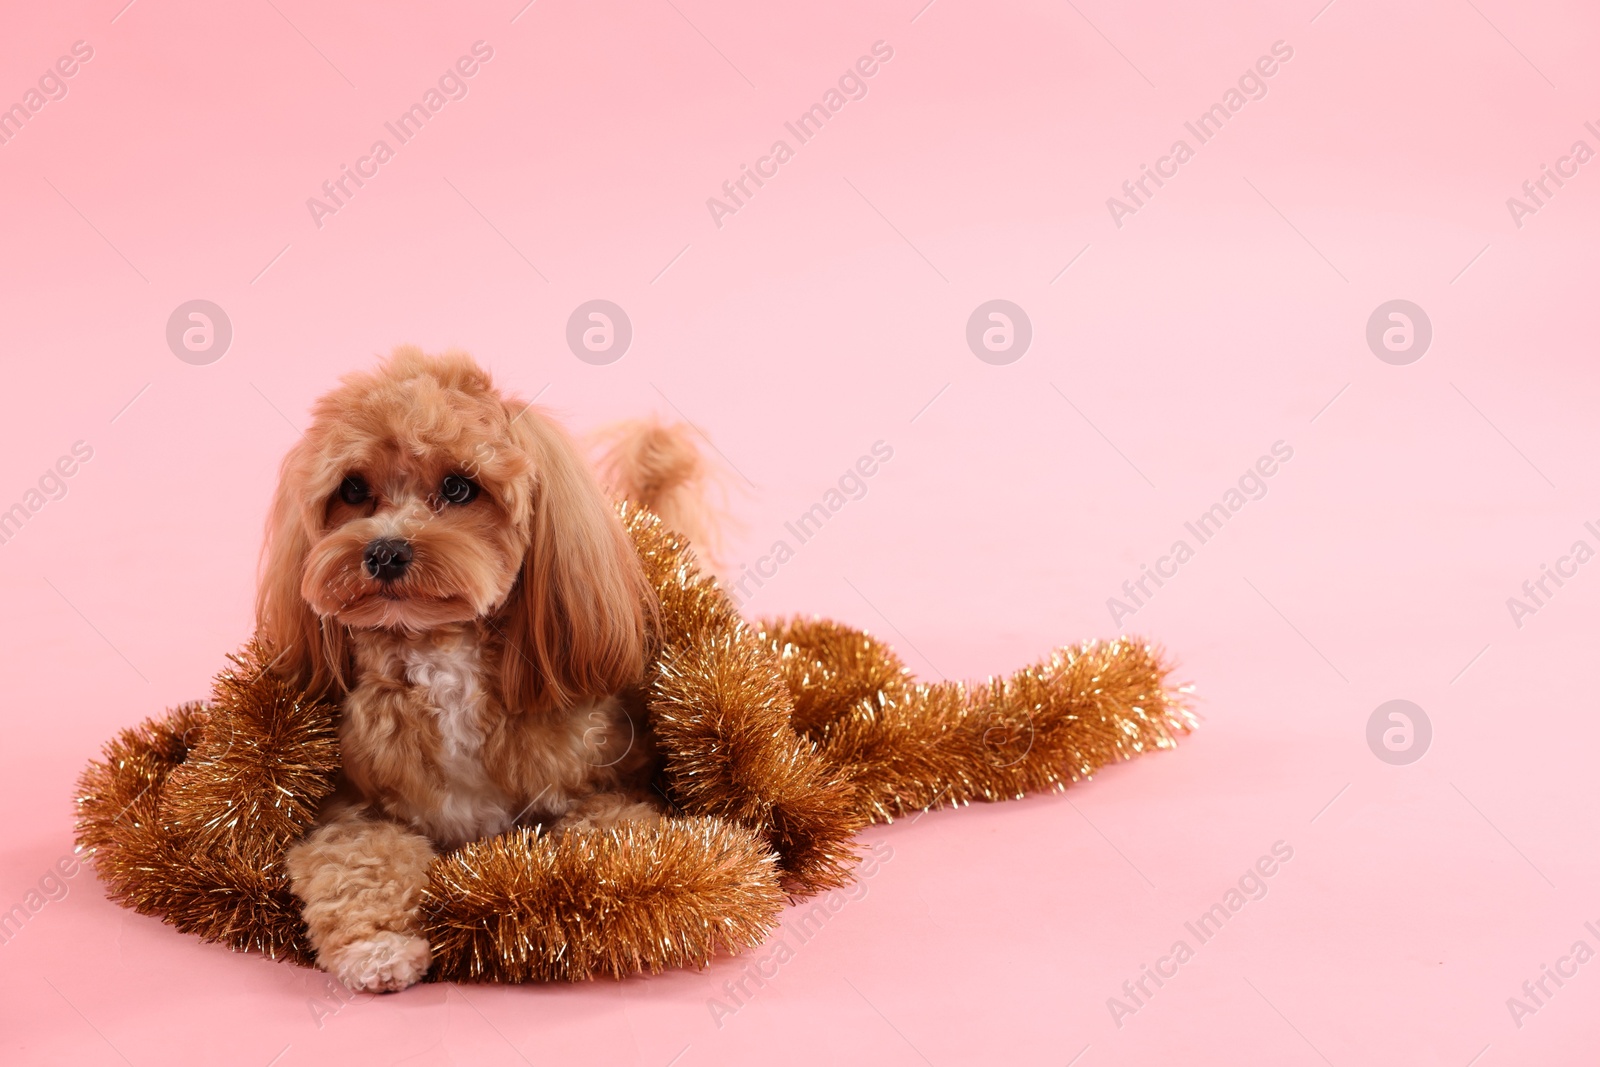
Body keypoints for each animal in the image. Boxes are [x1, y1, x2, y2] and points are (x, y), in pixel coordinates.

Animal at [265, 348, 704, 991]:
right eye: (352, 488)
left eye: (458, 486)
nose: (385, 551)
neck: (442, 655)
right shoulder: (344, 808)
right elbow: (358, 857)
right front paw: (378, 947)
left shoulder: (609, 790)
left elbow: (606, 840)